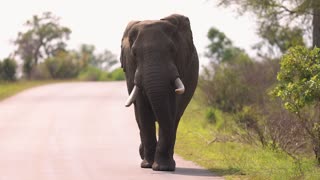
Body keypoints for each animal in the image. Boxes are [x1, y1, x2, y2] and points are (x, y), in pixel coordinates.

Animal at [120, 13, 198, 171]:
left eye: (172, 50)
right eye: (134, 53)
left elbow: (171, 109)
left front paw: (162, 168)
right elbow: (142, 111)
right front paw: (147, 165)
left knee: (175, 118)